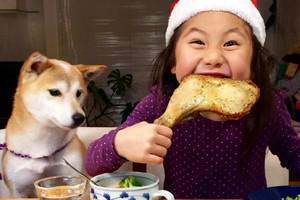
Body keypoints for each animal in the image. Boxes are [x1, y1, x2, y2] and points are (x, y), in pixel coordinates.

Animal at [0, 51, 106, 197]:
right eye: (54, 92)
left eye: (79, 93)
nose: (80, 118)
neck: (42, 142)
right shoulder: (17, 191)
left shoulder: (78, 177)